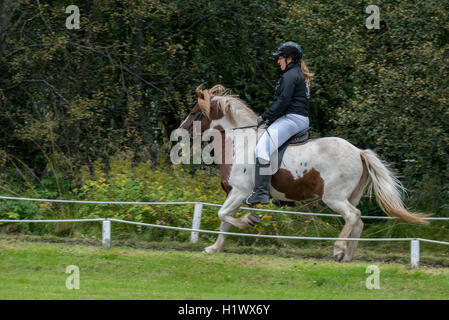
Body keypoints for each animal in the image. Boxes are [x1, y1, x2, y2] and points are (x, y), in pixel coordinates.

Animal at [177, 84, 428, 262]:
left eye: (194, 112)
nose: (179, 134)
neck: (239, 142)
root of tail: (359, 152)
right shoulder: (233, 194)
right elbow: (224, 221)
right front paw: (214, 248)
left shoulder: (239, 192)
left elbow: (223, 215)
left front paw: (250, 220)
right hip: (350, 196)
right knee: (358, 222)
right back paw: (349, 256)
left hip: (334, 197)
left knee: (352, 216)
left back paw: (338, 250)